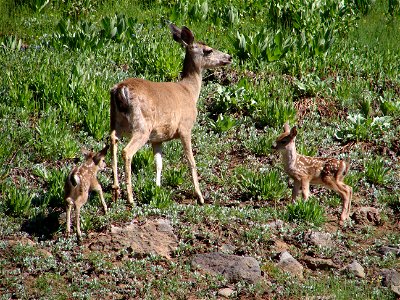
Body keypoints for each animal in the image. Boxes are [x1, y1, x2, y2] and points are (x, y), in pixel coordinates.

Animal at [111, 22, 233, 204]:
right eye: (208, 50)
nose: (229, 57)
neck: (189, 91)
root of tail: (121, 89)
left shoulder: (158, 137)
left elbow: (158, 163)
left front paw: (157, 189)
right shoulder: (185, 128)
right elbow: (191, 161)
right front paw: (200, 196)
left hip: (115, 121)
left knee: (112, 141)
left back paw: (116, 191)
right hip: (142, 126)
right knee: (127, 152)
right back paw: (130, 198)